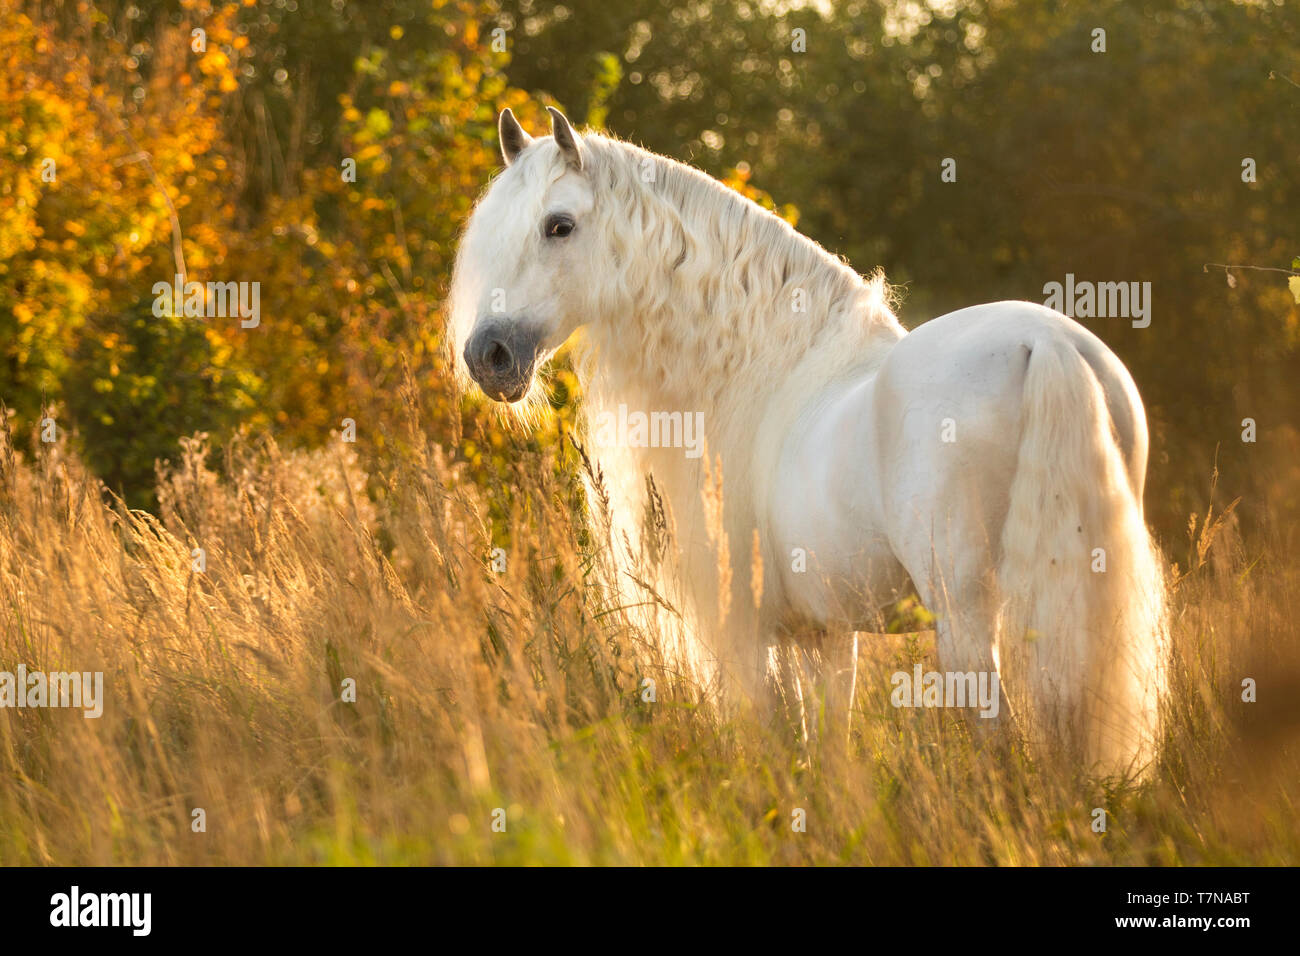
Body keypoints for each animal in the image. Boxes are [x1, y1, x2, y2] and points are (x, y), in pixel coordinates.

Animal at [449, 108, 1170, 775]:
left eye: (559, 225)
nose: (488, 356)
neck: (758, 368)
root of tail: (1043, 344)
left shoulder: (754, 633)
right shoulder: (821, 633)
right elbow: (827, 750)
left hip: (965, 616)